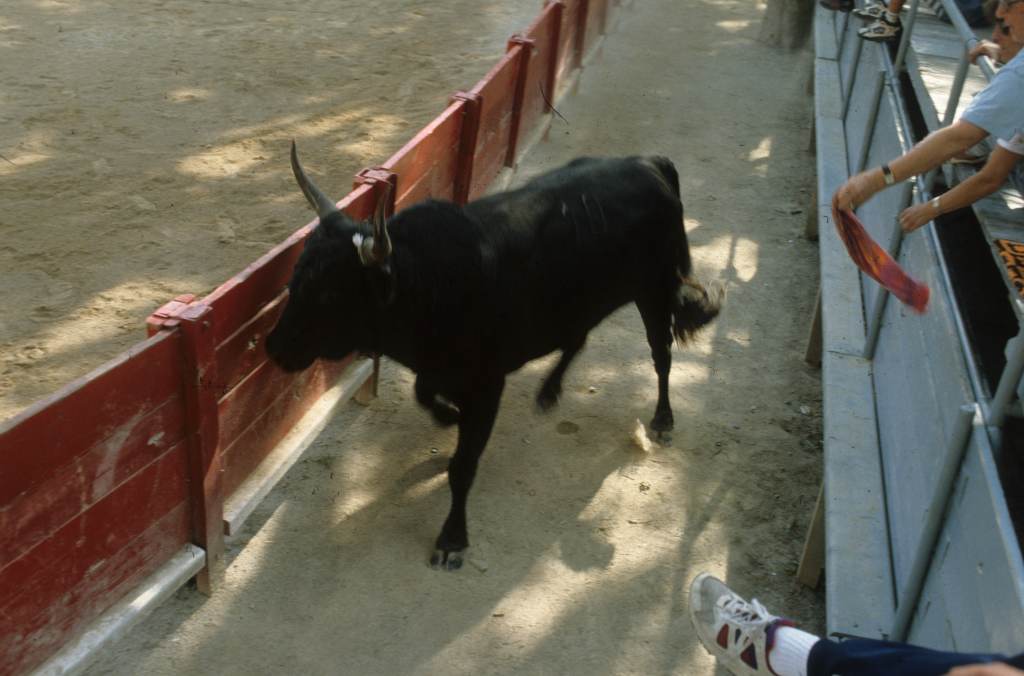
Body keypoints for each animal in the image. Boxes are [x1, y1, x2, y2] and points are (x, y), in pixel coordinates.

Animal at [268, 144, 724, 569]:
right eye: (295, 277)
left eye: (331, 295)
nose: (274, 348)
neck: (430, 281)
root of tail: (649, 164)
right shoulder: (438, 369)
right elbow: (423, 394)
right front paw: (449, 416)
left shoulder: (488, 386)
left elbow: (463, 466)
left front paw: (452, 540)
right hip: (581, 303)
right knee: (577, 339)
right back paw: (548, 391)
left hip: (655, 290)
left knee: (660, 354)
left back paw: (662, 420)